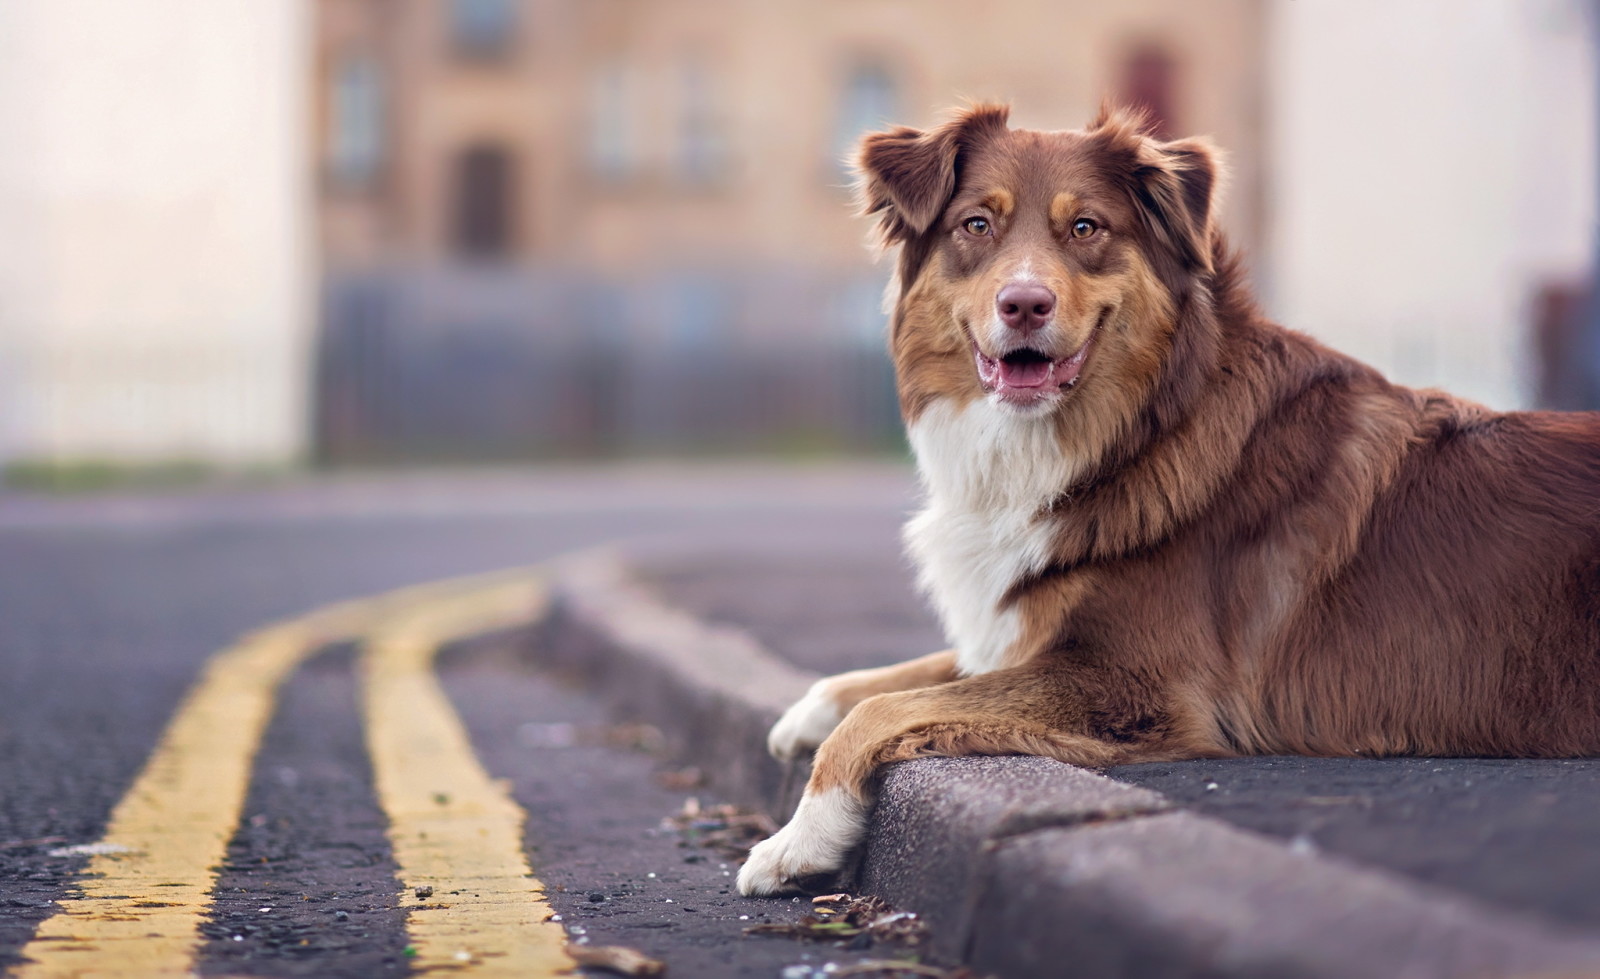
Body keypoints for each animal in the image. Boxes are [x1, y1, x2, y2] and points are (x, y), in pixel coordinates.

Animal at [736, 104, 1600, 895]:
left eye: (1086, 227)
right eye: (976, 224)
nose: (1024, 304)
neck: (1136, 432)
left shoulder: (1134, 682)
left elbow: (887, 710)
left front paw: (799, 836)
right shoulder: (1027, 636)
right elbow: (896, 677)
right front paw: (801, 714)